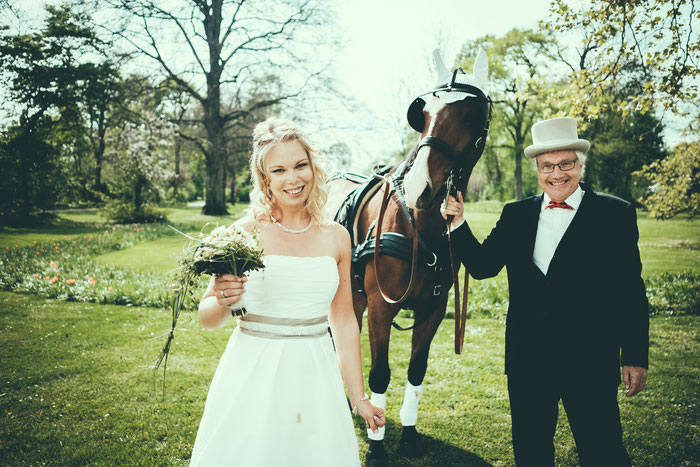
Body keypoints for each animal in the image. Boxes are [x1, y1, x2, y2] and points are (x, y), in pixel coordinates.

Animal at [328, 49, 492, 466]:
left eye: (472, 115)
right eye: (423, 112)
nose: (420, 187)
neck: (418, 227)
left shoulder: (433, 308)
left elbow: (417, 370)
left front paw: (409, 434)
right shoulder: (381, 306)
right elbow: (381, 372)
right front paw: (377, 444)